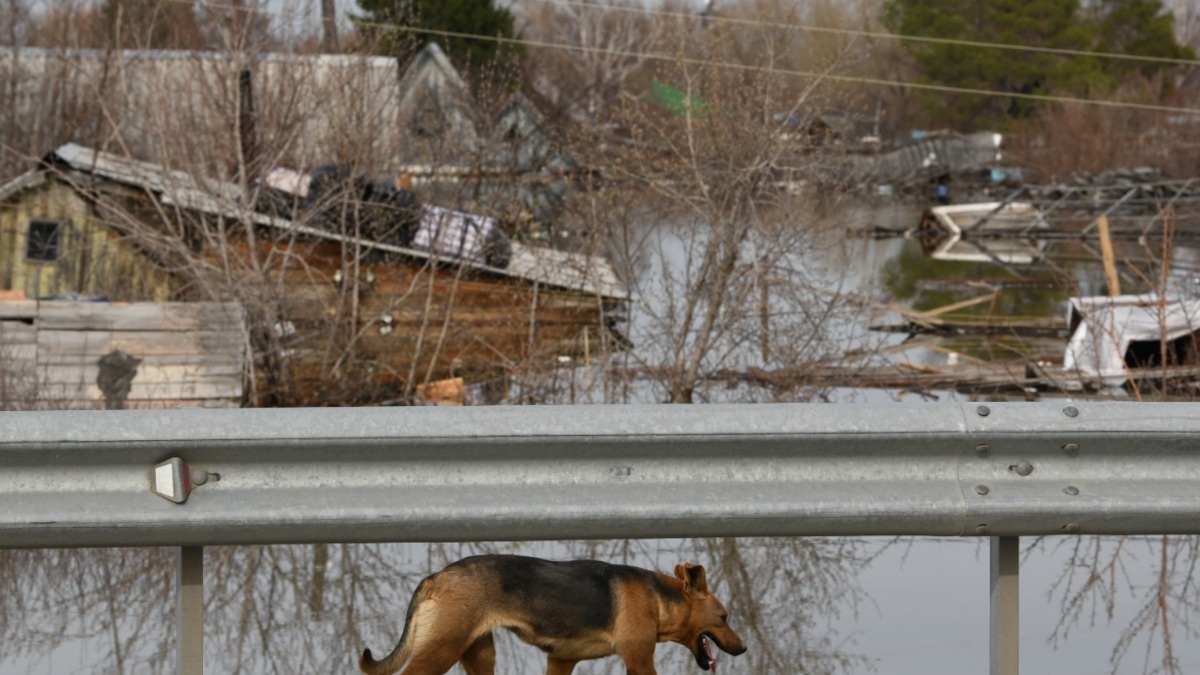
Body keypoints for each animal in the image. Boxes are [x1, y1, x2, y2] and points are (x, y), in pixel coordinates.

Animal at [357, 552, 748, 672]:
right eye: (724, 617)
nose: (744, 649)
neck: (657, 599)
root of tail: (435, 577)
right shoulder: (639, 660)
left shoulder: (561, 660)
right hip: (441, 650)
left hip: (479, 653)